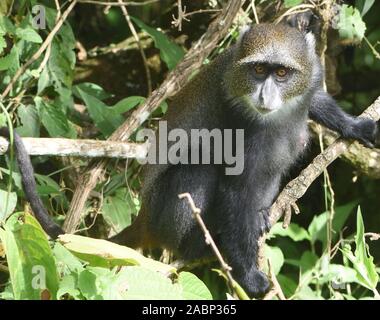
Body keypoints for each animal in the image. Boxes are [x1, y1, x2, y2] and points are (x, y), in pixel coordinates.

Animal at [0, 23, 378, 298]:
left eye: (281, 74)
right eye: (258, 70)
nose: (264, 94)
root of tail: (145, 219)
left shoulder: (308, 82)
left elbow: (314, 99)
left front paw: (354, 126)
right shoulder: (239, 128)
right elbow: (234, 192)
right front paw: (248, 275)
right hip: (166, 215)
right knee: (201, 169)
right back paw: (203, 246)